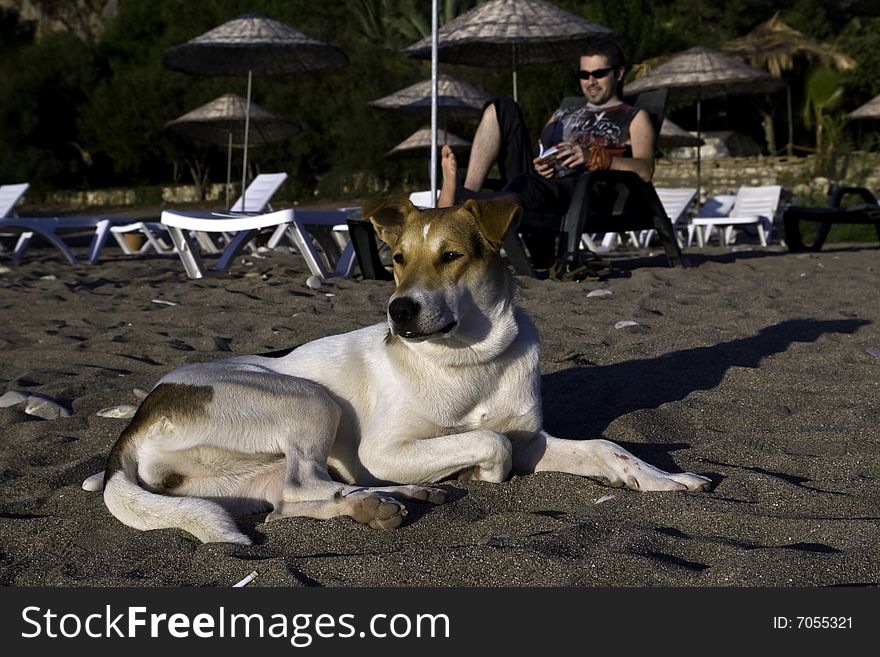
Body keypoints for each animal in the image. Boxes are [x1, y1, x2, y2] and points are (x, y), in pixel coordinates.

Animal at [84, 196, 708, 544]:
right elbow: (489, 444)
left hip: (242, 474)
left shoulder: (531, 439)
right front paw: (480, 473)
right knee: (305, 482)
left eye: (452, 256)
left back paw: (386, 500)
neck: (469, 359)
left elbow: (607, 447)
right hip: (307, 399)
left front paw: (664, 478)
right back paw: (394, 493)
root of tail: (133, 426)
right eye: (398, 260)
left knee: (287, 499)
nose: (399, 311)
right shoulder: (384, 448)